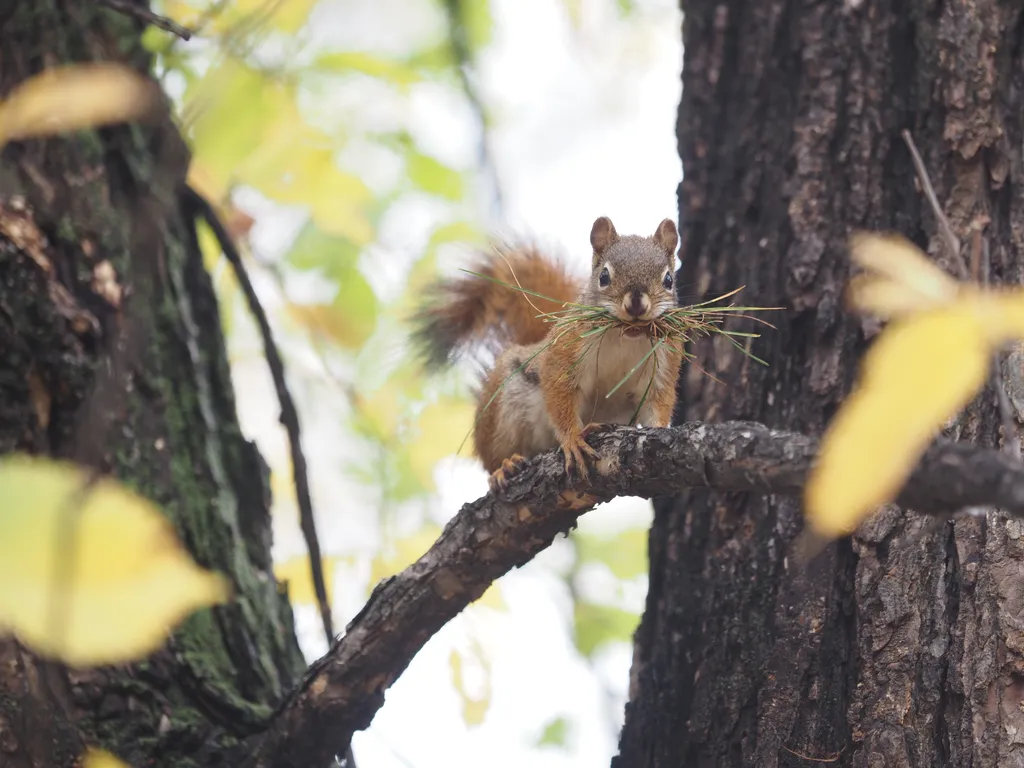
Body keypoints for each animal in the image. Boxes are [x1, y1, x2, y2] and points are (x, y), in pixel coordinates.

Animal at [411, 217, 684, 489]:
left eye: (669, 280)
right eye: (604, 276)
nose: (636, 303)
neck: (624, 336)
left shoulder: (666, 363)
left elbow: (658, 402)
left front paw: (661, 429)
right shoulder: (565, 351)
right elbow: (559, 394)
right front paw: (573, 439)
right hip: (502, 408)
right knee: (493, 458)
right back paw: (504, 467)